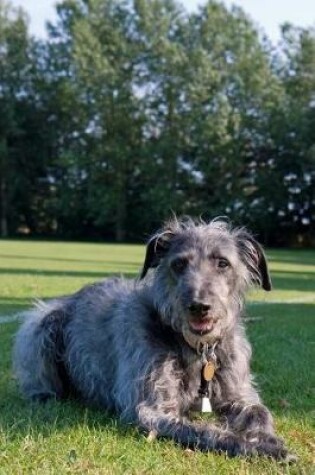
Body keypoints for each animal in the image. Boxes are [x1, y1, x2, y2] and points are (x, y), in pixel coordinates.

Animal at [12, 219, 294, 462]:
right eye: (179, 264)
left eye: (222, 263)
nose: (199, 307)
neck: (196, 349)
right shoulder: (153, 409)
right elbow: (206, 430)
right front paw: (257, 446)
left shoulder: (238, 393)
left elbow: (260, 412)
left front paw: (265, 437)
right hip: (42, 324)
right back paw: (44, 395)